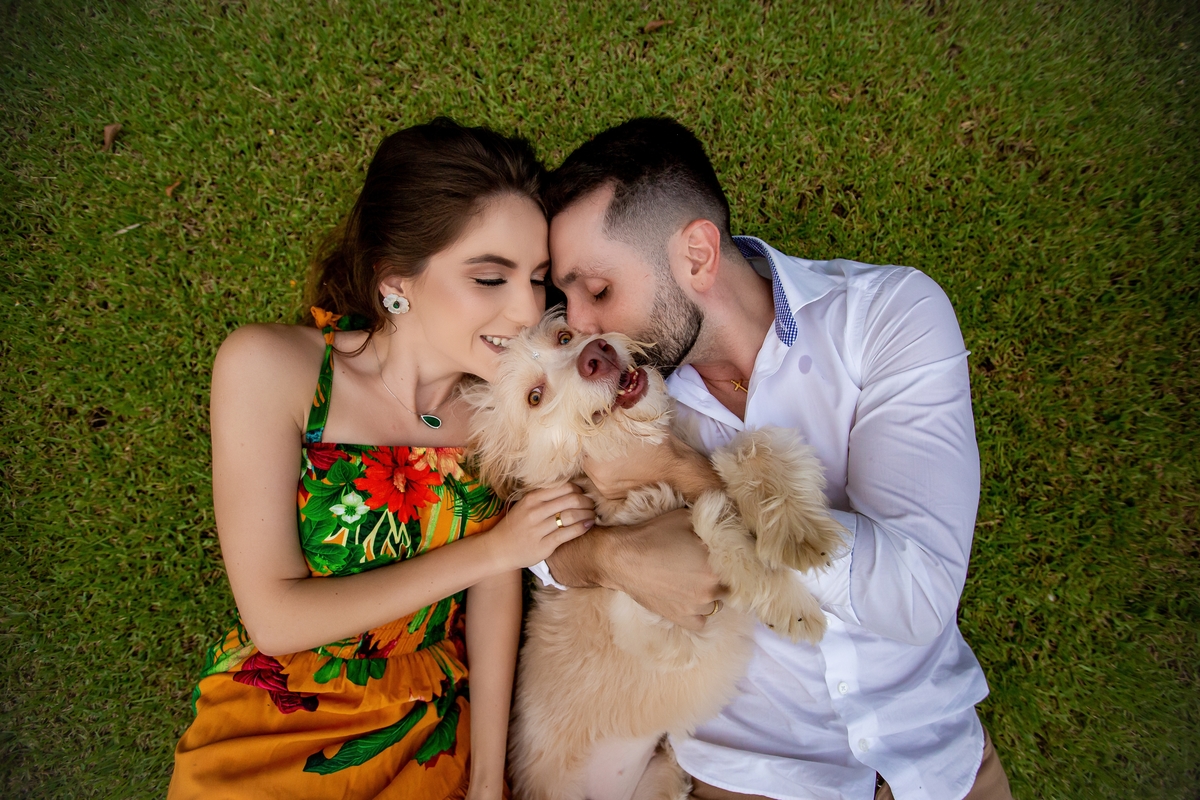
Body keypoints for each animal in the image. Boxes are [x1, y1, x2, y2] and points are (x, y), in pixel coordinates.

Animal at [462, 312, 845, 800]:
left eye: (565, 337)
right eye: (535, 396)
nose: (597, 354)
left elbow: (749, 446)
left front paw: (798, 532)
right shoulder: (659, 630)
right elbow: (705, 517)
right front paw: (791, 603)